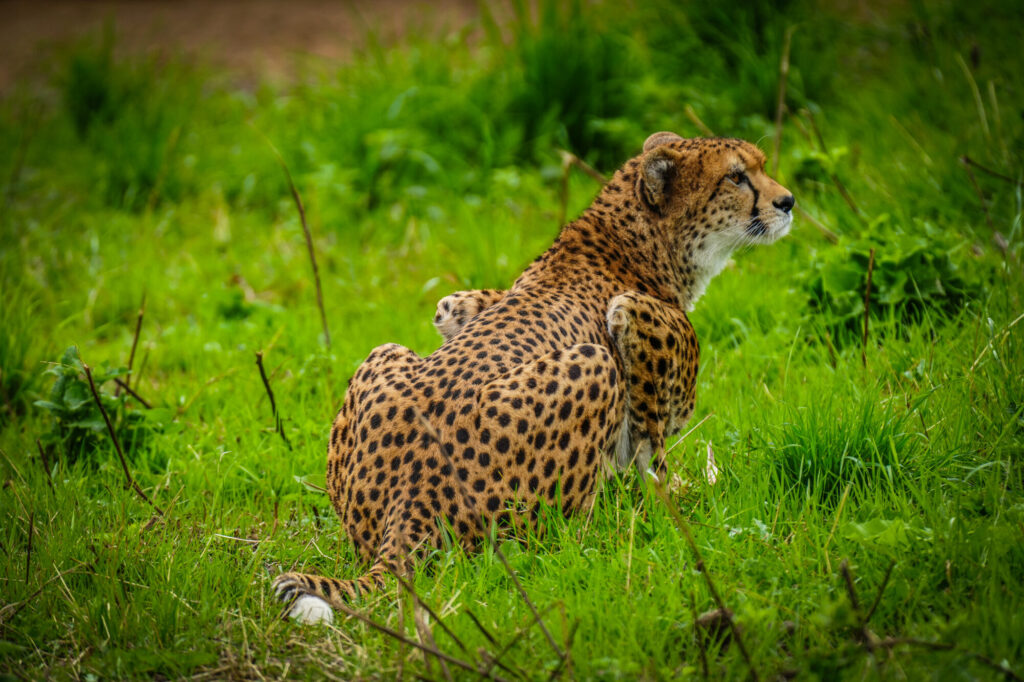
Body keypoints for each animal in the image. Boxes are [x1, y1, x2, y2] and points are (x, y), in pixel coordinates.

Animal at [273, 131, 795, 624]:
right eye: (736, 177)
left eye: (759, 167)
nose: (788, 202)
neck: (635, 240)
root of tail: (411, 498)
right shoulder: (631, 316)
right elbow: (654, 454)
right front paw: (678, 504)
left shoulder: (455, 305)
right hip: (593, 368)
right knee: (559, 534)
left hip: (383, 355)